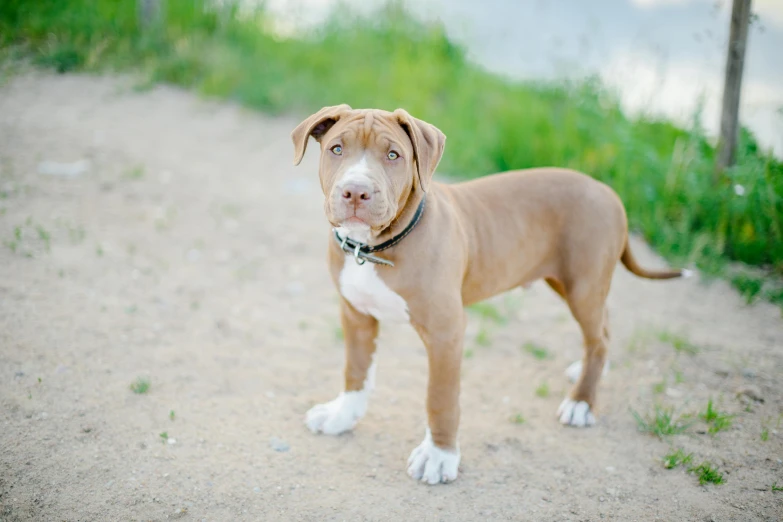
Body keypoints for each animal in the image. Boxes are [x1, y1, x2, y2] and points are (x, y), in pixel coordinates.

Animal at [290, 104, 688, 484]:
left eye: (393, 155)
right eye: (337, 149)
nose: (356, 191)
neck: (373, 248)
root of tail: (608, 192)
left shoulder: (446, 331)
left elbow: (441, 397)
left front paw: (439, 455)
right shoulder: (356, 315)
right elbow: (355, 372)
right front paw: (342, 416)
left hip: (583, 284)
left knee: (599, 337)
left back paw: (582, 403)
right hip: (573, 284)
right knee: (602, 328)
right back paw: (587, 371)